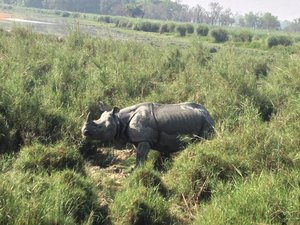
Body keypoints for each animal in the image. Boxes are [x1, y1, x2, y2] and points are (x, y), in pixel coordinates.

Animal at [81, 102, 213, 167]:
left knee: (204, 139)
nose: (84, 131)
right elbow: (139, 155)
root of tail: (208, 112)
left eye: (100, 127)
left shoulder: (144, 139)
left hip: (206, 121)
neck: (119, 120)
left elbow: (141, 155)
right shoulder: (137, 140)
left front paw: (137, 170)